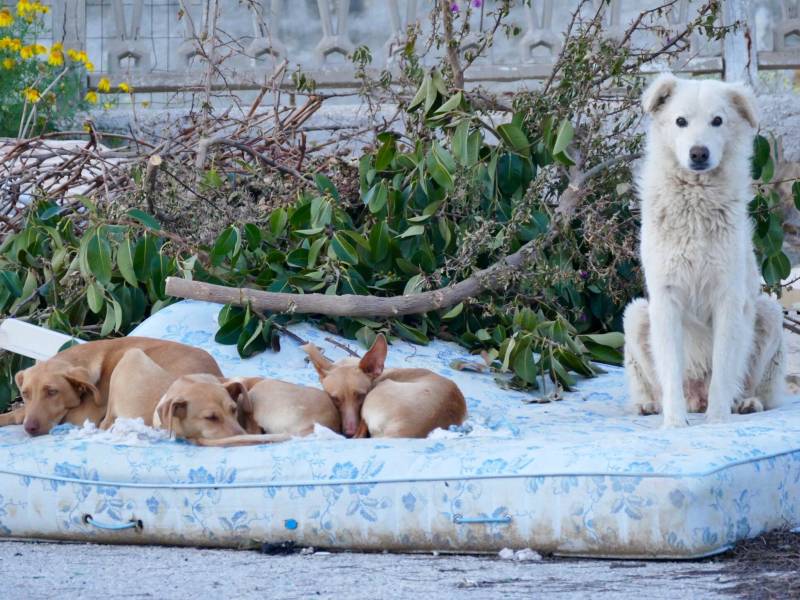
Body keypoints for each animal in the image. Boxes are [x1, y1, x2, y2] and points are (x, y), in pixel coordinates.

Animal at [3, 338, 222, 436]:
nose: (29, 428)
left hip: (131, 357)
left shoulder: (84, 414)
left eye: (52, 392)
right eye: (25, 394)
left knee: (106, 424)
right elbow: (18, 412)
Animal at [620, 72, 784, 426]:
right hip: (636, 314)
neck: (695, 201)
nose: (699, 153)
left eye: (717, 121)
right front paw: (674, 423)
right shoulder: (665, 298)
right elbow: (669, 369)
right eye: (680, 121)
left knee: (754, 388)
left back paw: (745, 402)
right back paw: (648, 405)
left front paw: (717, 422)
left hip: (769, 312)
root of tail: (697, 396)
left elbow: (723, 369)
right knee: (653, 385)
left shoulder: (728, 299)